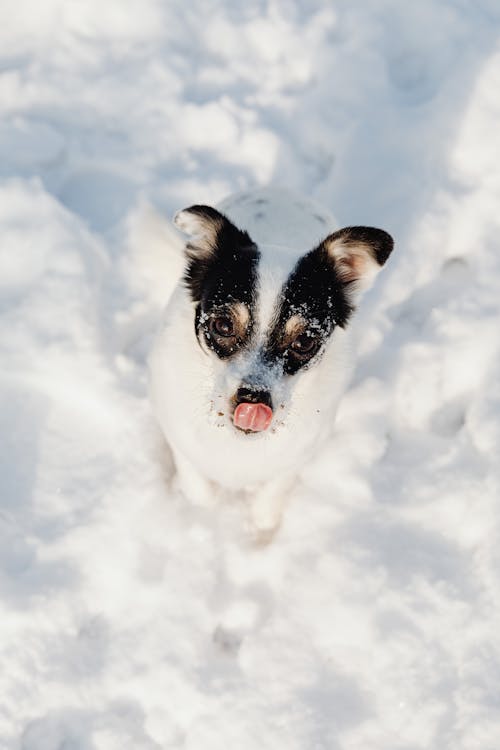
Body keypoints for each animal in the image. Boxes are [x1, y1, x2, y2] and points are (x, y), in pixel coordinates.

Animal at [149, 188, 394, 540]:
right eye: (223, 325)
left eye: (304, 342)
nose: (253, 399)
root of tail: (279, 192)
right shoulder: (182, 444)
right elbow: (200, 491)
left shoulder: (292, 461)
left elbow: (269, 502)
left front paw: (260, 537)